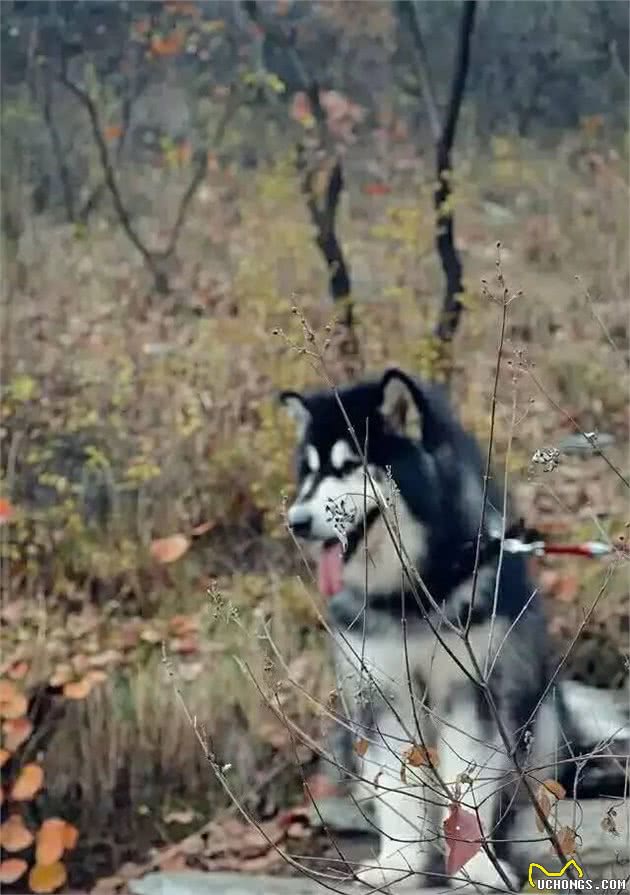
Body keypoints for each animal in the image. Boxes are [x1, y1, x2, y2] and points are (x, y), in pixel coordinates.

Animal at [282, 370, 630, 888]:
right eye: (309, 472)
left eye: (348, 466)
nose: (296, 522)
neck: (415, 592)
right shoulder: (384, 693)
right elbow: (401, 792)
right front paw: (401, 863)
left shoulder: (473, 692)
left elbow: (467, 785)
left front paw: (475, 866)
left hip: (536, 707)